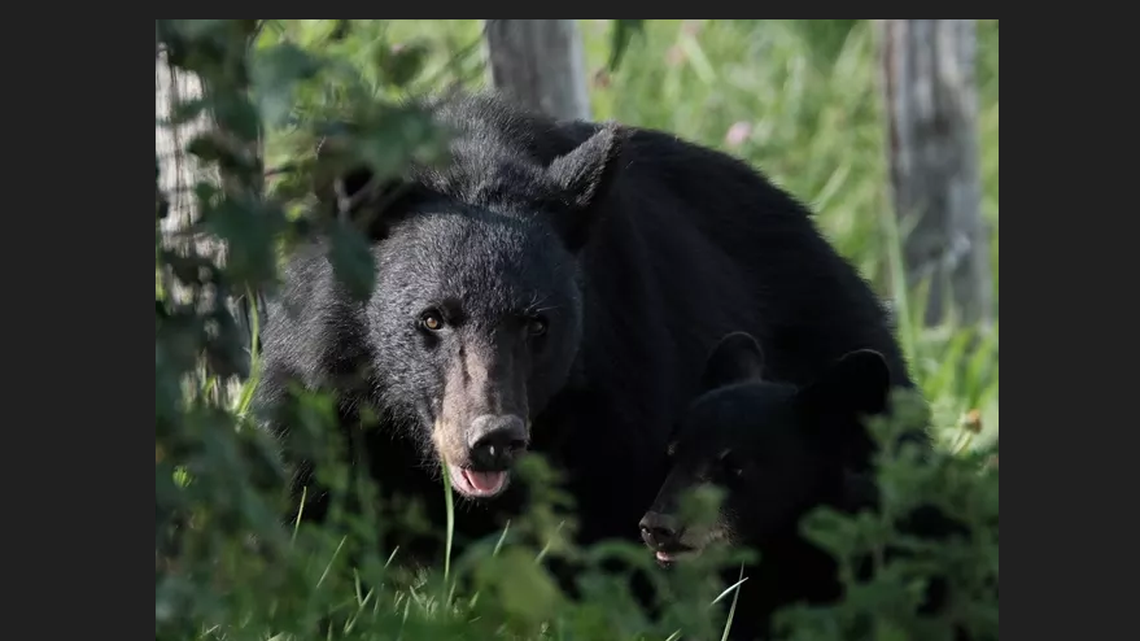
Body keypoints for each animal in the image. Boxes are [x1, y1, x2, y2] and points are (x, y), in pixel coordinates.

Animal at [251, 91, 917, 596]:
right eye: (433, 320)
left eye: (537, 325)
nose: (492, 439)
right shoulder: (320, 390)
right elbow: (309, 514)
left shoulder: (619, 399)